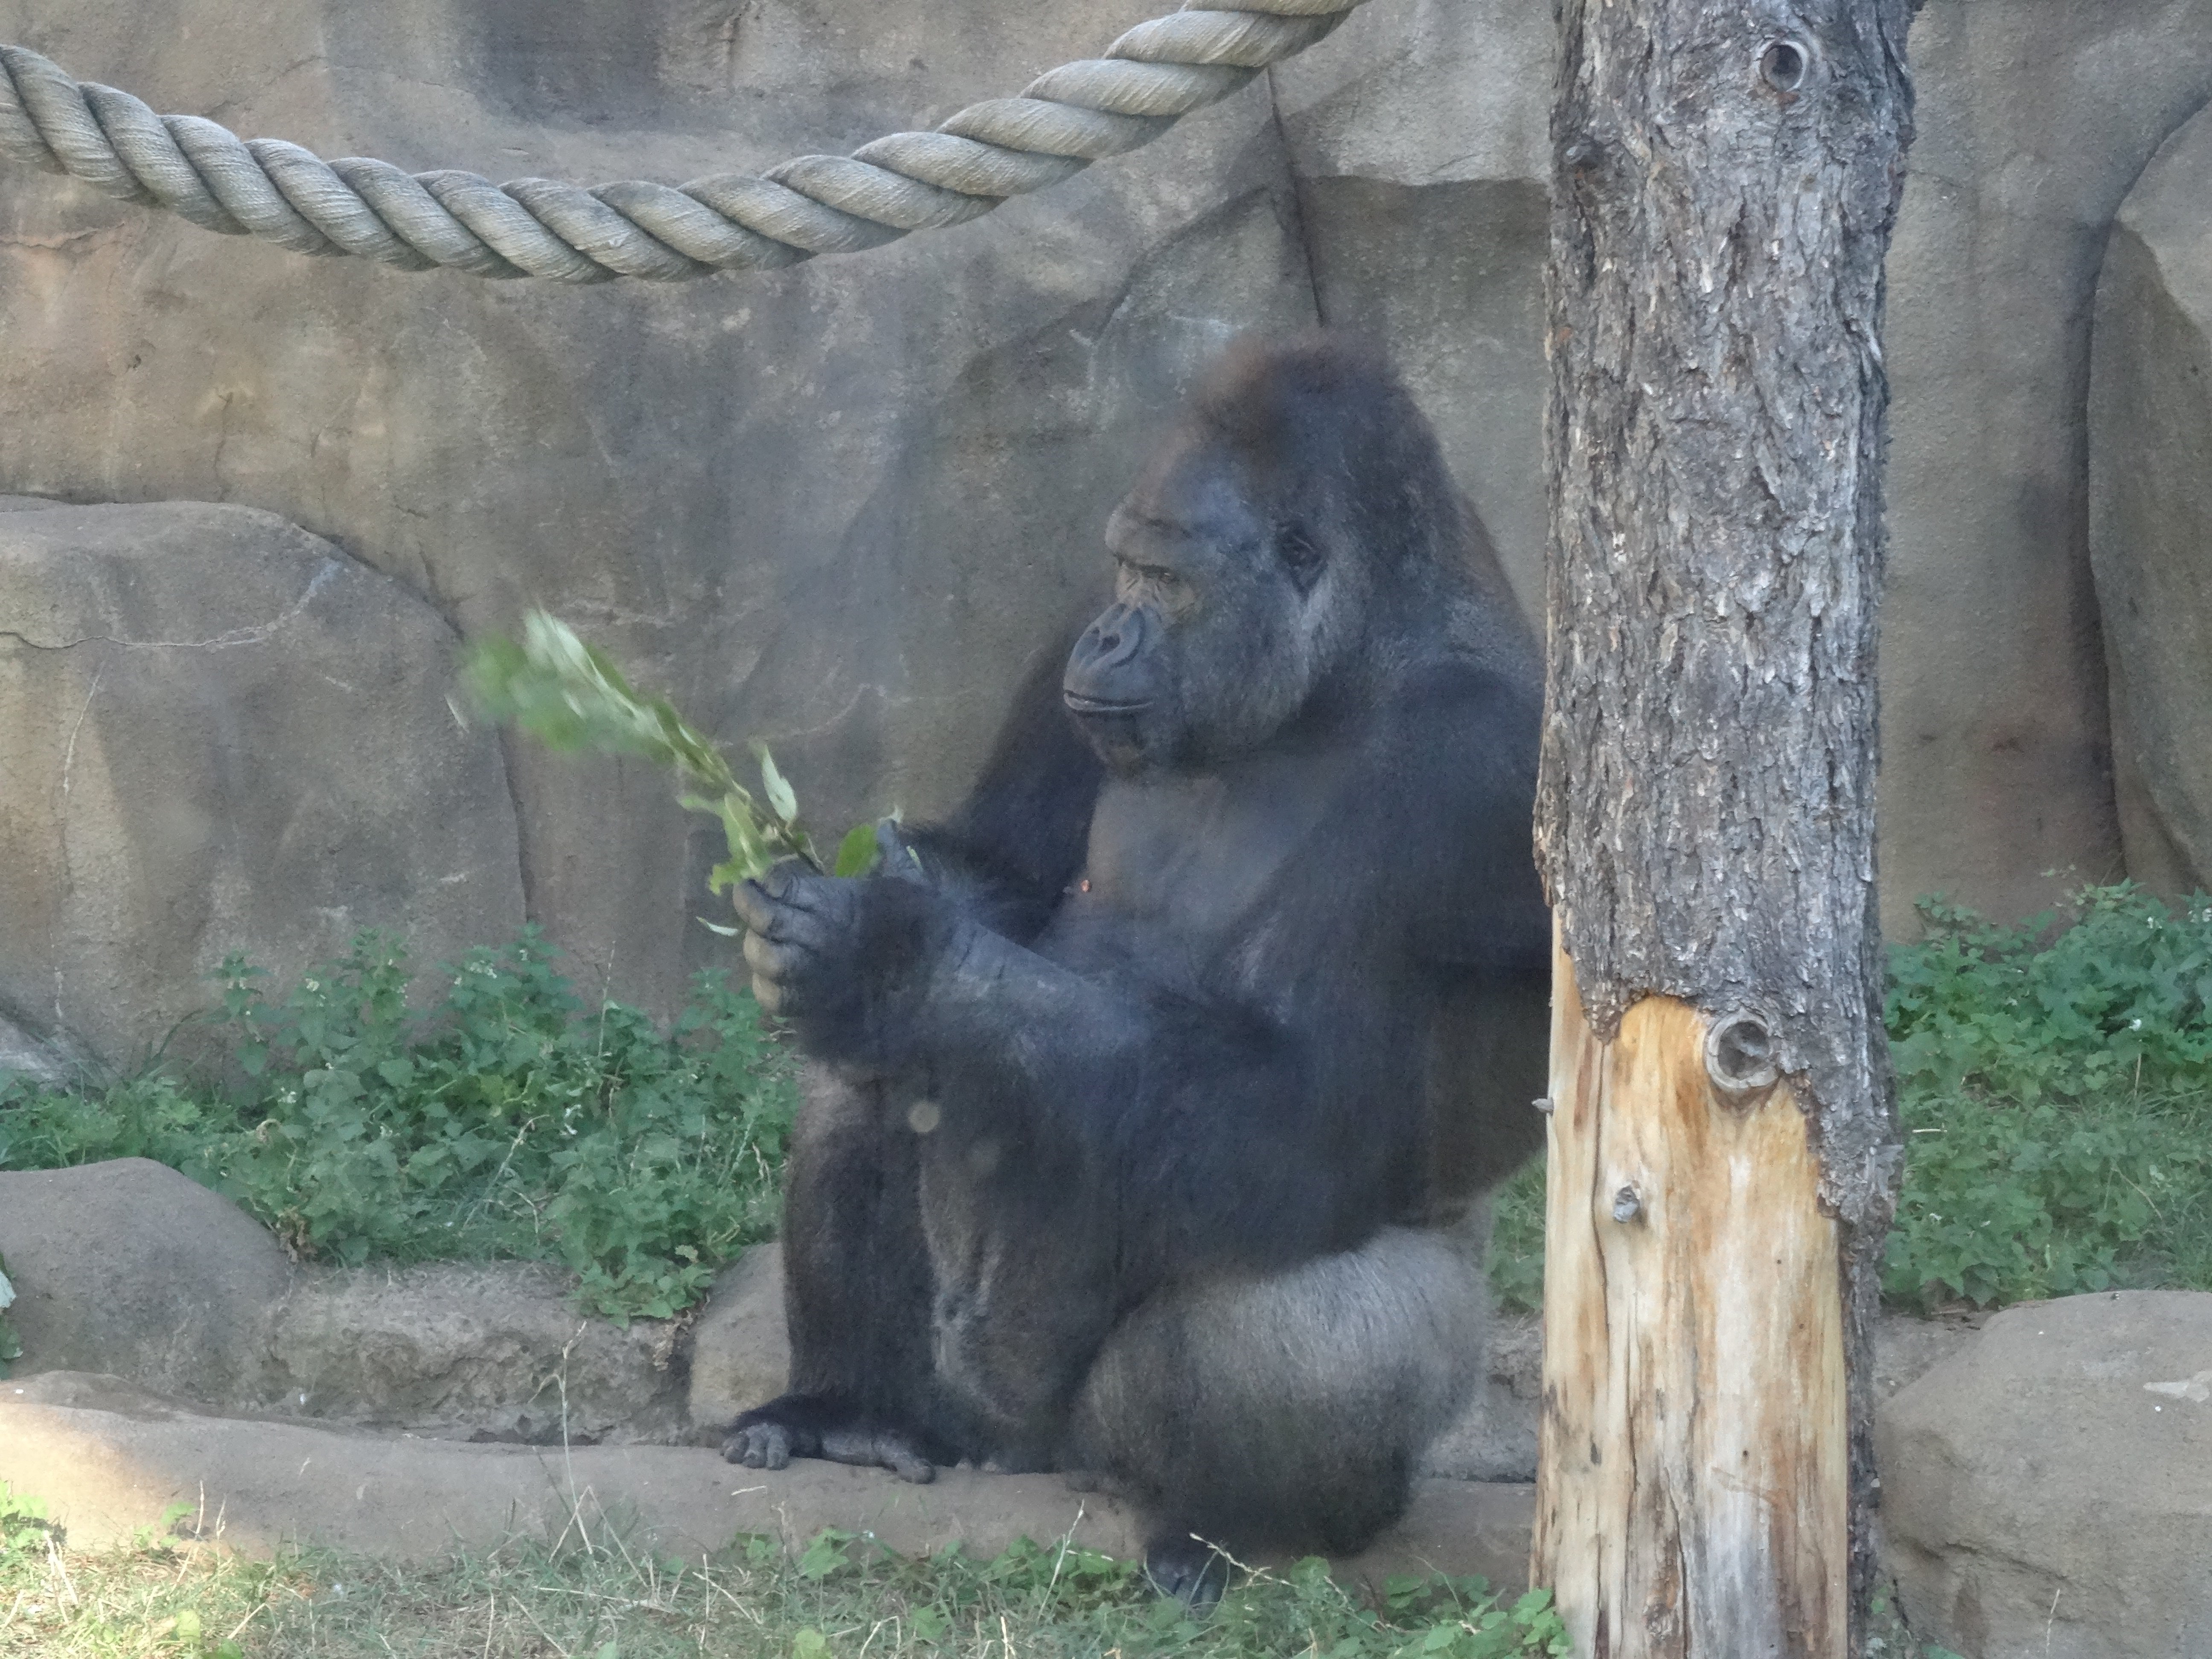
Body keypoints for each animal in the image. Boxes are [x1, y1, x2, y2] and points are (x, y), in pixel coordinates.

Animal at [730, 334, 1557, 1601]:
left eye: (1164, 581)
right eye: (1122, 570)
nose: (1110, 635)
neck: (1345, 665)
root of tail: (1027, 1448)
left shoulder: (1467, 773)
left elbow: (1300, 1108)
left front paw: (890, 960)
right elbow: (1003, 876)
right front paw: (885, 929)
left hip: (1111, 1435)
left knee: (1308, 1329)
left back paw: (1235, 1525)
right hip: (981, 1414)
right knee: (873, 1083)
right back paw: (857, 1407)